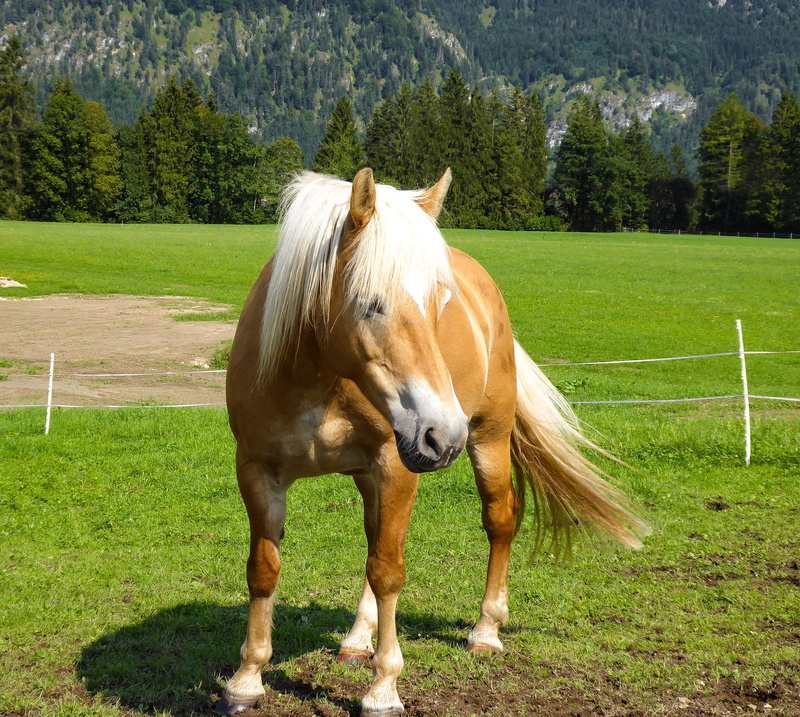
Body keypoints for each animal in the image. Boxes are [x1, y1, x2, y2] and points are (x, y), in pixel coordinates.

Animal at [219, 167, 647, 716]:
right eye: (371, 303)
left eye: (440, 302)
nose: (443, 433)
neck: (317, 378)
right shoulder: (257, 470)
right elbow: (264, 570)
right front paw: (246, 680)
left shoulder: (396, 465)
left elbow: (389, 572)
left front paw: (383, 688)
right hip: (374, 474)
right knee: (374, 539)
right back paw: (357, 639)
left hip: (488, 440)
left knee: (498, 521)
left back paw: (485, 630)